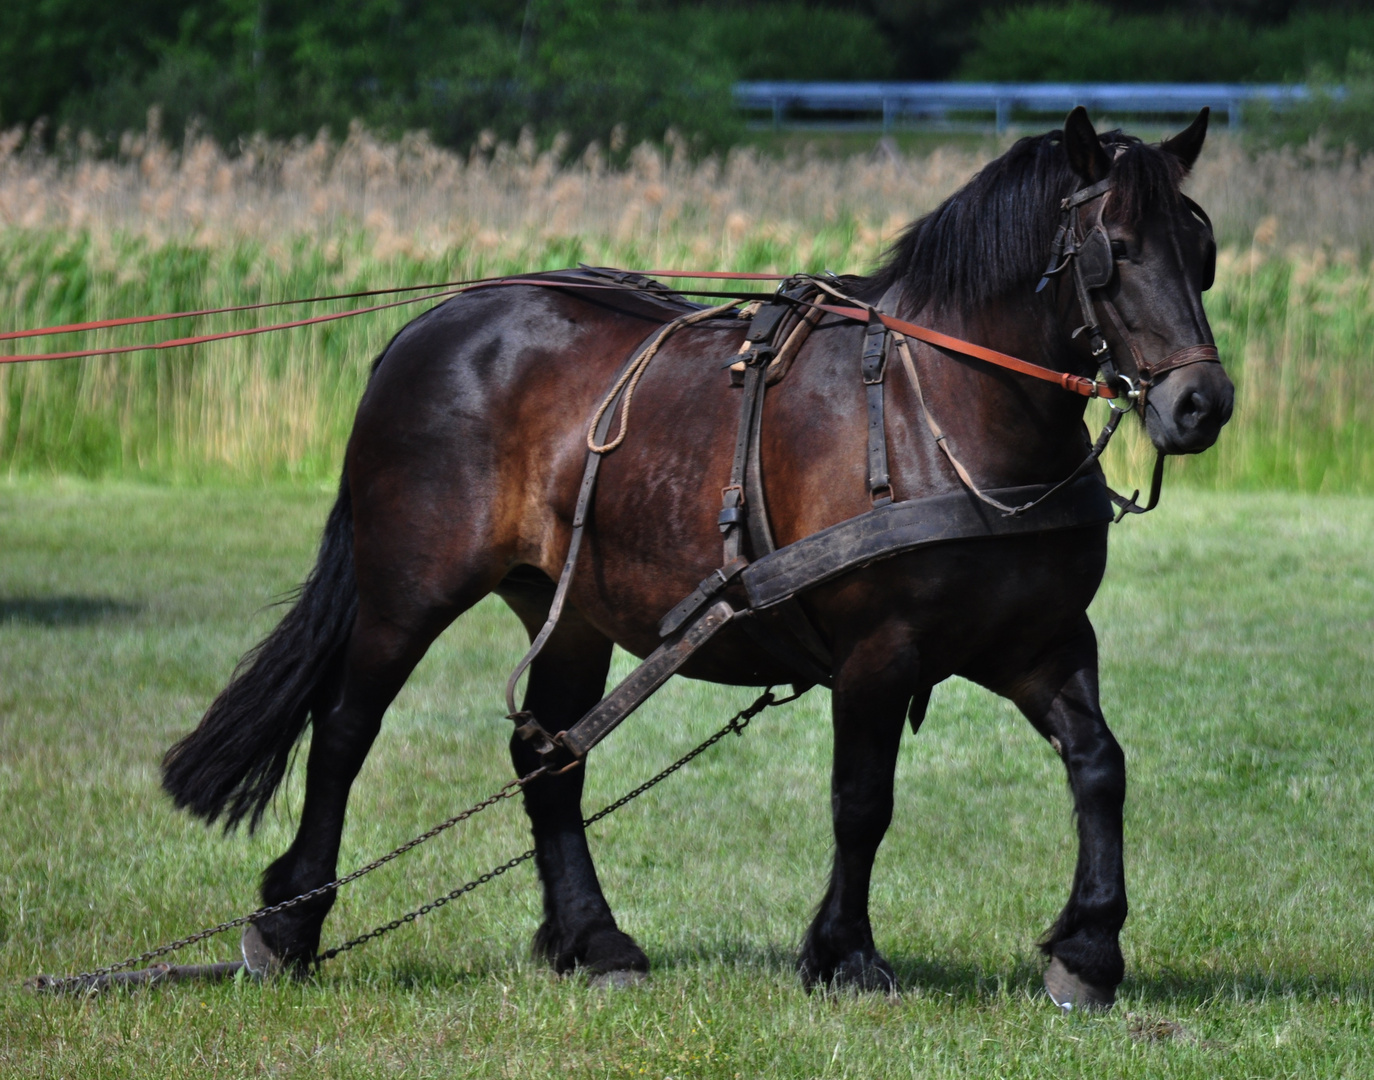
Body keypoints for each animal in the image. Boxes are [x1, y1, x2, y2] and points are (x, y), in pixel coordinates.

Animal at [160, 105, 1236, 1005]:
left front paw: (1088, 950)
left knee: (547, 757)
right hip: (409, 587)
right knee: (345, 731)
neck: (946, 413)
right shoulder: (877, 654)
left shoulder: (1041, 644)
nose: (1202, 405)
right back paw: (287, 925)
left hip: (567, 606)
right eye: (1114, 252)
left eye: (1202, 252)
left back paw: (595, 942)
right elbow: (863, 801)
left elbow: (1100, 766)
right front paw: (845, 954)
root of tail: (430, 325)